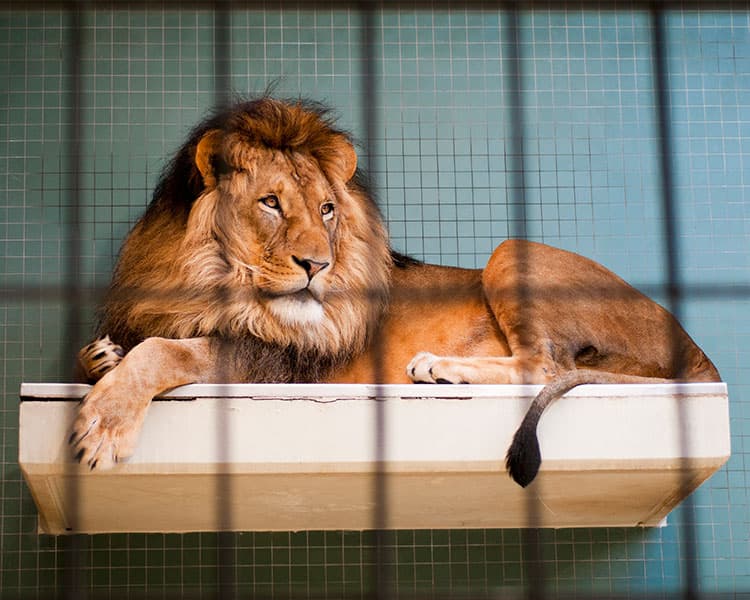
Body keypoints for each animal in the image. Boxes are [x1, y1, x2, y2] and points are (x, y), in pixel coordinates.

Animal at [72, 95, 724, 488]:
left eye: (328, 209)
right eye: (271, 202)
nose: (318, 264)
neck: (207, 281)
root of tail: (696, 350)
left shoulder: (268, 364)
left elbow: (166, 350)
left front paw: (103, 422)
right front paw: (102, 355)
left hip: (509, 249)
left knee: (544, 364)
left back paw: (438, 368)